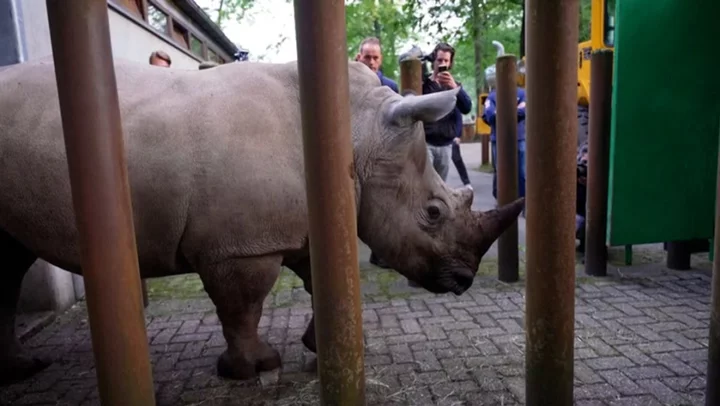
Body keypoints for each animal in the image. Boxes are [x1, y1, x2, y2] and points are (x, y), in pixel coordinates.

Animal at [0, 58, 524, 384]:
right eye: (433, 213)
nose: (464, 281)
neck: (360, 133)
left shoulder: (304, 222)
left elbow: (324, 279)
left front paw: (330, 346)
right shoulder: (242, 246)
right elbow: (243, 306)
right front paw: (255, 368)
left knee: (8, 261)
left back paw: (24, 367)